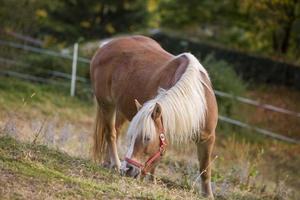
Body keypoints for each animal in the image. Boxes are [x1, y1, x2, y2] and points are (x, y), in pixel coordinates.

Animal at [89, 34, 218, 197]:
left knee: (115, 131)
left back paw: (110, 163)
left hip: (121, 109)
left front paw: (207, 194)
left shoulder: (207, 138)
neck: (197, 100)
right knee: (110, 133)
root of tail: (105, 46)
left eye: (147, 138)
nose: (127, 170)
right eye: (131, 138)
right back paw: (116, 164)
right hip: (106, 104)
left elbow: (204, 168)